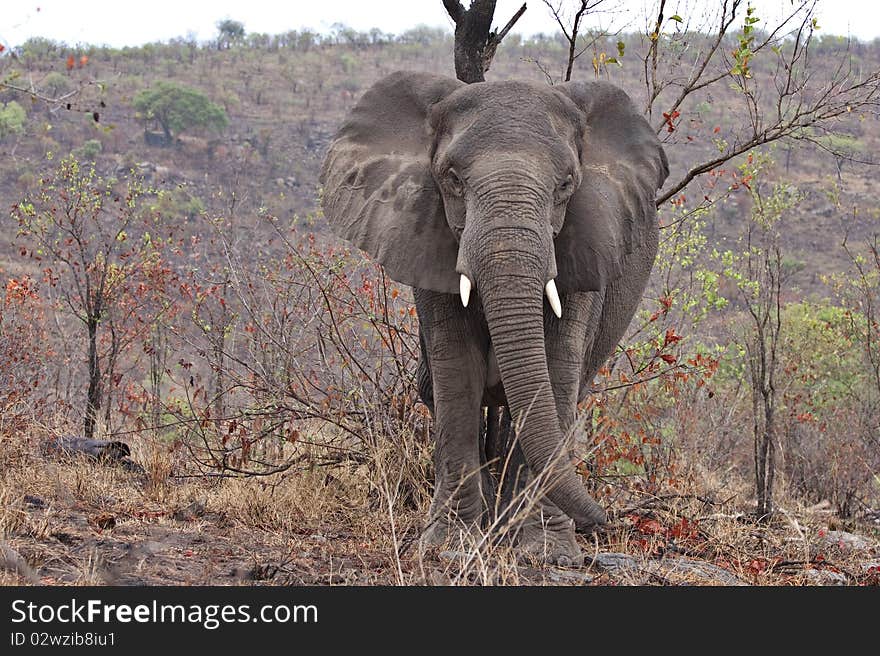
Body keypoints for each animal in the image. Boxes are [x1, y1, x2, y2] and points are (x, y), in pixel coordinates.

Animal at [318, 72, 668, 564]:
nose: (605, 520)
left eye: (566, 184)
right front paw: (449, 549)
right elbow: (456, 371)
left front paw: (548, 555)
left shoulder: (586, 246)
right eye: (452, 179)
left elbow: (556, 372)